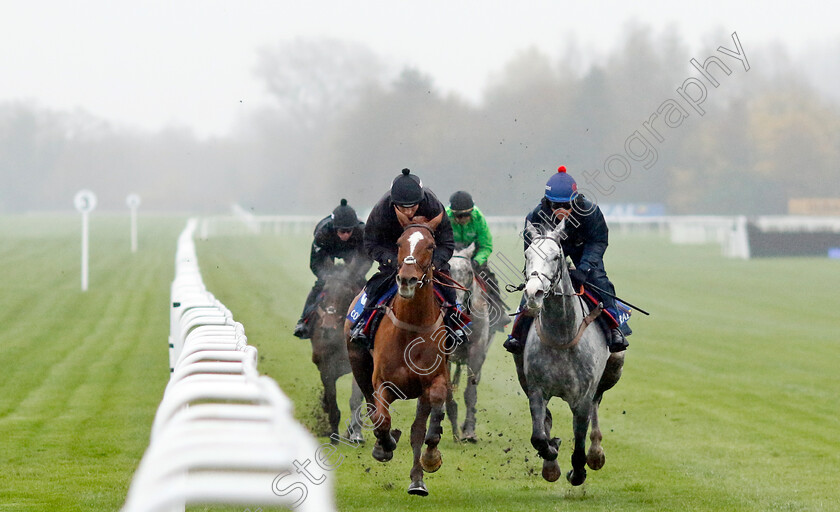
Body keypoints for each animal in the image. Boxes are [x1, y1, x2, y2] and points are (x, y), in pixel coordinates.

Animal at [306, 266, 362, 442]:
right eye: (325, 291)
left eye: (347, 292)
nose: (328, 327)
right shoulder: (326, 365)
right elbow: (331, 395)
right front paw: (333, 433)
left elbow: (356, 398)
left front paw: (355, 433)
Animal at [342, 211, 450, 496]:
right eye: (400, 243)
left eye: (431, 246)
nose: (407, 279)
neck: (411, 329)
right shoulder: (383, 383)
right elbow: (381, 419)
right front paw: (385, 445)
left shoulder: (434, 380)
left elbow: (427, 426)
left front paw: (431, 457)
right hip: (358, 362)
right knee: (371, 406)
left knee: (418, 430)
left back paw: (417, 481)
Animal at [442, 242, 496, 442]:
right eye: (446, 270)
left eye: (468, 271)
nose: (456, 301)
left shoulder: (477, 350)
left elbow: (470, 392)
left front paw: (469, 431)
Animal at [512, 220, 624, 484]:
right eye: (527, 254)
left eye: (555, 256)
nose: (533, 293)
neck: (561, 335)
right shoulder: (536, 389)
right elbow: (539, 435)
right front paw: (551, 453)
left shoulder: (582, 396)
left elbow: (581, 435)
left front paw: (579, 470)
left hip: (613, 369)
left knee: (596, 404)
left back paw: (596, 453)